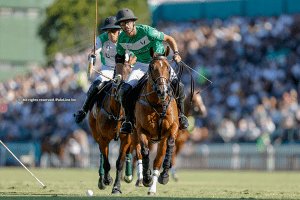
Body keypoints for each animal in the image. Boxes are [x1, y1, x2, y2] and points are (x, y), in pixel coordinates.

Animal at [86, 57, 134, 195]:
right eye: (119, 71)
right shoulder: (103, 138)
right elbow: (107, 162)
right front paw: (107, 180)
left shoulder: (126, 138)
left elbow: (119, 163)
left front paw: (117, 187)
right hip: (95, 133)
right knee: (102, 155)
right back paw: (101, 180)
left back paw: (128, 176)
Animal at [131, 46, 179, 195]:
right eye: (152, 67)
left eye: (168, 68)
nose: (162, 91)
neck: (157, 104)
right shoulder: (142, 130)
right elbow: (145, 151)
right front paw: (147, 179)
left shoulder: (172, 128)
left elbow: (167, 148)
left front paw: (164, 176)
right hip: (133, 133)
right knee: (139, 153)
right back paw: (141, 179)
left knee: (157, 158)